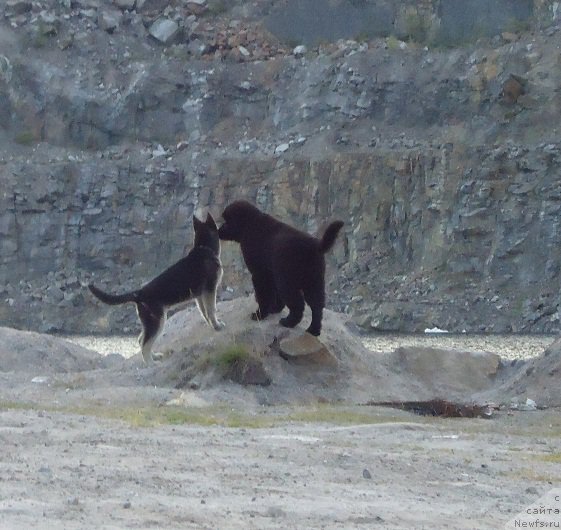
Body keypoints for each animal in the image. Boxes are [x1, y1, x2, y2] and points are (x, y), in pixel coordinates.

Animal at [87, 212, 223, 360]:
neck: (204, 248)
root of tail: (138, 293)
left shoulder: (199, 296)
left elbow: (204, 313)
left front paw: (211, 325)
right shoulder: (210, 289)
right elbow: (212, 311)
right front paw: (217, 325)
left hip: (151, 323)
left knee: (141, 340)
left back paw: (155, 356)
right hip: (157, 321)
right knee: (144, 345)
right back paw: (151, 362)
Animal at [218, 198, 342, 334]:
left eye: (227, 221)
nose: (218, 230)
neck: (250, 225)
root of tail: (316, 246)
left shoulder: (260, 273)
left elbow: (264, 295)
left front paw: (260, 314)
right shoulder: (273, 273)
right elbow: (275, 295)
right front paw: (275, 308)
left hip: (288, 282)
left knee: (298, 304)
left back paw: (288, 322)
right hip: (314, 281)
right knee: (317, 306)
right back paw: (313, 330)